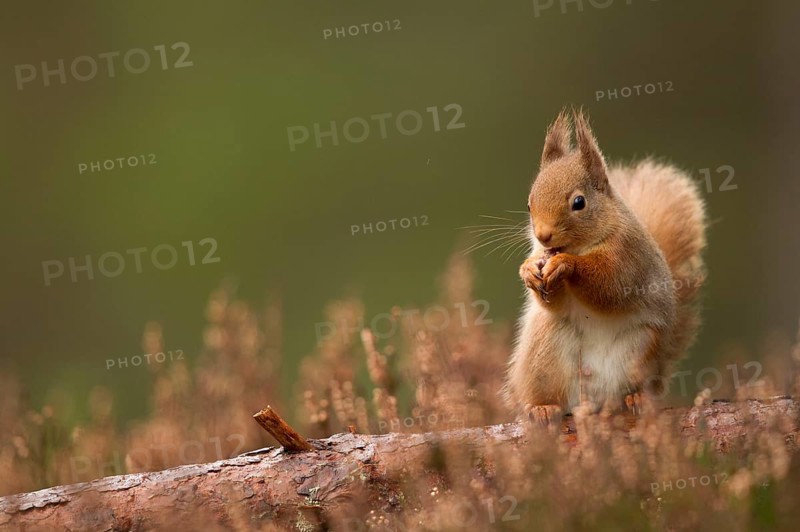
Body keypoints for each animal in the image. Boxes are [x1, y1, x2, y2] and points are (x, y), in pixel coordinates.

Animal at [503, 109, 707, 422]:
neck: (581, 247)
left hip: (641, 351)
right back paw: (543, 407)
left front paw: (566, 265)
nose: (543, 235)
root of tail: (593, 399)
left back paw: (636, 399)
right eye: (528, 204)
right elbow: (554, 302)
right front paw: (528, 270)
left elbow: (609, 287)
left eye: (579, 202)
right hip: (544, 357)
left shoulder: (628, 259)